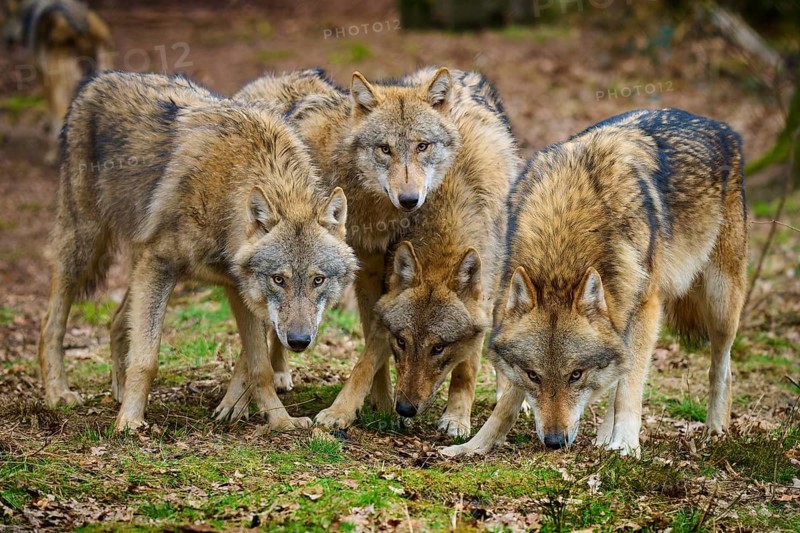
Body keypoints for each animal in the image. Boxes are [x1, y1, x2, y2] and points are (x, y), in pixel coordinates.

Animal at [37, 71, 357, 432]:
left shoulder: (238, 288)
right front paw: (129, 422)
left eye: (318, 280)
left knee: (117, 320)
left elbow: (258, 367)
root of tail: (96, 80)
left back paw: (117, 390)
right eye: (279, 279)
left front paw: (280, 420)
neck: (226, 188)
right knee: (50, 324)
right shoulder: (160, 264)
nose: (299, 341)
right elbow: (147, 358)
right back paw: (59, 394)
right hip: (84, 247)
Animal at [235, 67, 520, 430]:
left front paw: (456, 416)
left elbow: (466, 363)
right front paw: (346, 409)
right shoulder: (375, 278)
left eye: (422, 146)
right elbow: (370, 354)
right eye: (384, 149)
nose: (410, 199)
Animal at [443, 109, 748, 457]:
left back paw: (715, 428)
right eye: (534, 375)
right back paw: (605, 437)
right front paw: (473, 445)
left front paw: (627, 444)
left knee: (720, 369)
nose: (554, 441)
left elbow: (629, 389)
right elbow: (508, 400)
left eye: (576, 375)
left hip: (720, 306)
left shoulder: (645, 307)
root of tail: (718, 125)